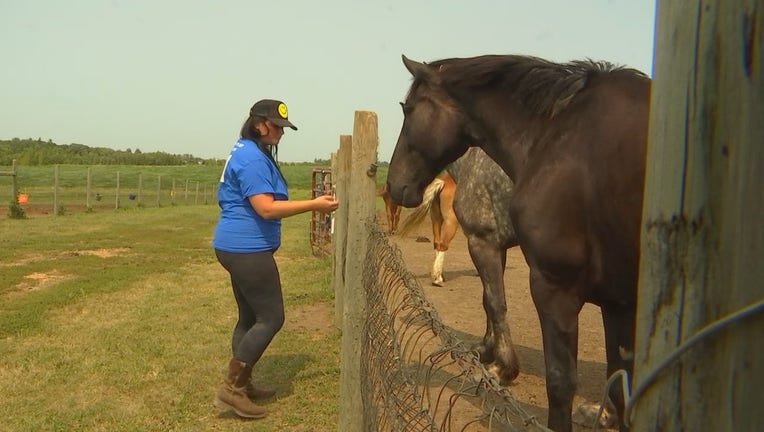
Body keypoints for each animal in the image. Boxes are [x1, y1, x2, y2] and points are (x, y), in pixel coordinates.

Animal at [388, 54, 652, 432]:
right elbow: (489, 301)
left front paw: (501, 366)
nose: (395, 184)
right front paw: (487, 352)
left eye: (408, 110)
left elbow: (495, 303)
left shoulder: (487, 245)